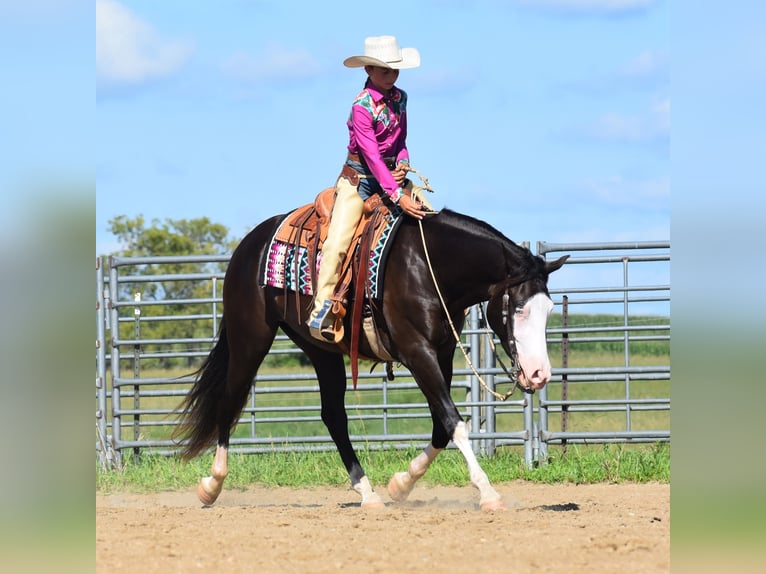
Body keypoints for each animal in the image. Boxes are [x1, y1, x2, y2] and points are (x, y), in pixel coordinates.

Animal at [175, 206, 567, 511]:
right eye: (518, 308)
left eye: (549, 309)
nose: (539, 374)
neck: (428, 265)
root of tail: (248, 245)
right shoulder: (417, 350)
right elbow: (454, 422)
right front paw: (487, 492)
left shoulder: (442, 352)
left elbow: (441, 426)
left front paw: (401, 484)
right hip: (250, 340)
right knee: (229, 401)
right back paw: (212, 485)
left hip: (320, 350)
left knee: (333, 415)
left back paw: (368, 492)